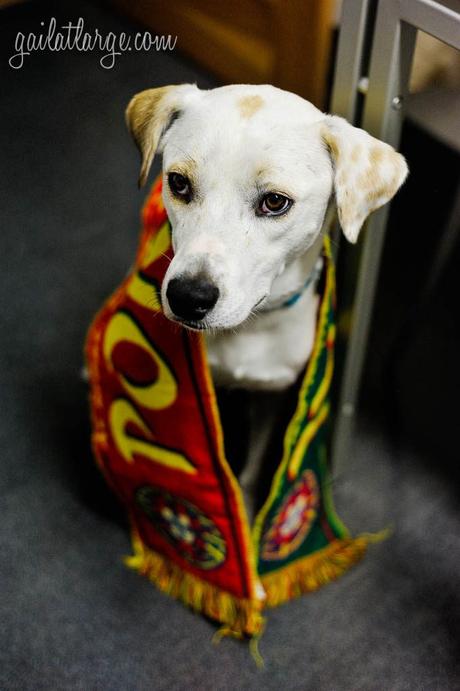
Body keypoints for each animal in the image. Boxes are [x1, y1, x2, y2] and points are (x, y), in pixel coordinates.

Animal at [125, 85, 406, 520]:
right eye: (179, 183)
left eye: (275, 202)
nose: (188, 297)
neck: (251, 326)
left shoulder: (272, 396)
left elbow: (253, 467)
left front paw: (247, 504)